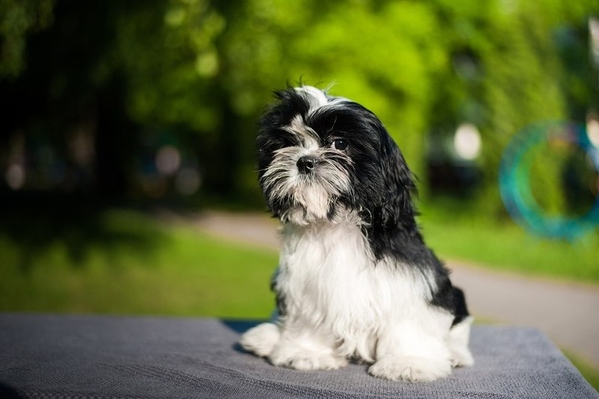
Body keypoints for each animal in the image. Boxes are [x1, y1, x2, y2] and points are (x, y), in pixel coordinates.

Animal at [241, 86, 476, 382]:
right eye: (287, 142)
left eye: (340, 144)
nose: (304, 161)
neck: (337, 225)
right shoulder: (307, 285)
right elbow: (310, 316)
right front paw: (308, 352)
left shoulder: (410, 277)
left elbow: (409, 320)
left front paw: (408, 362)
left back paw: (455, 354)